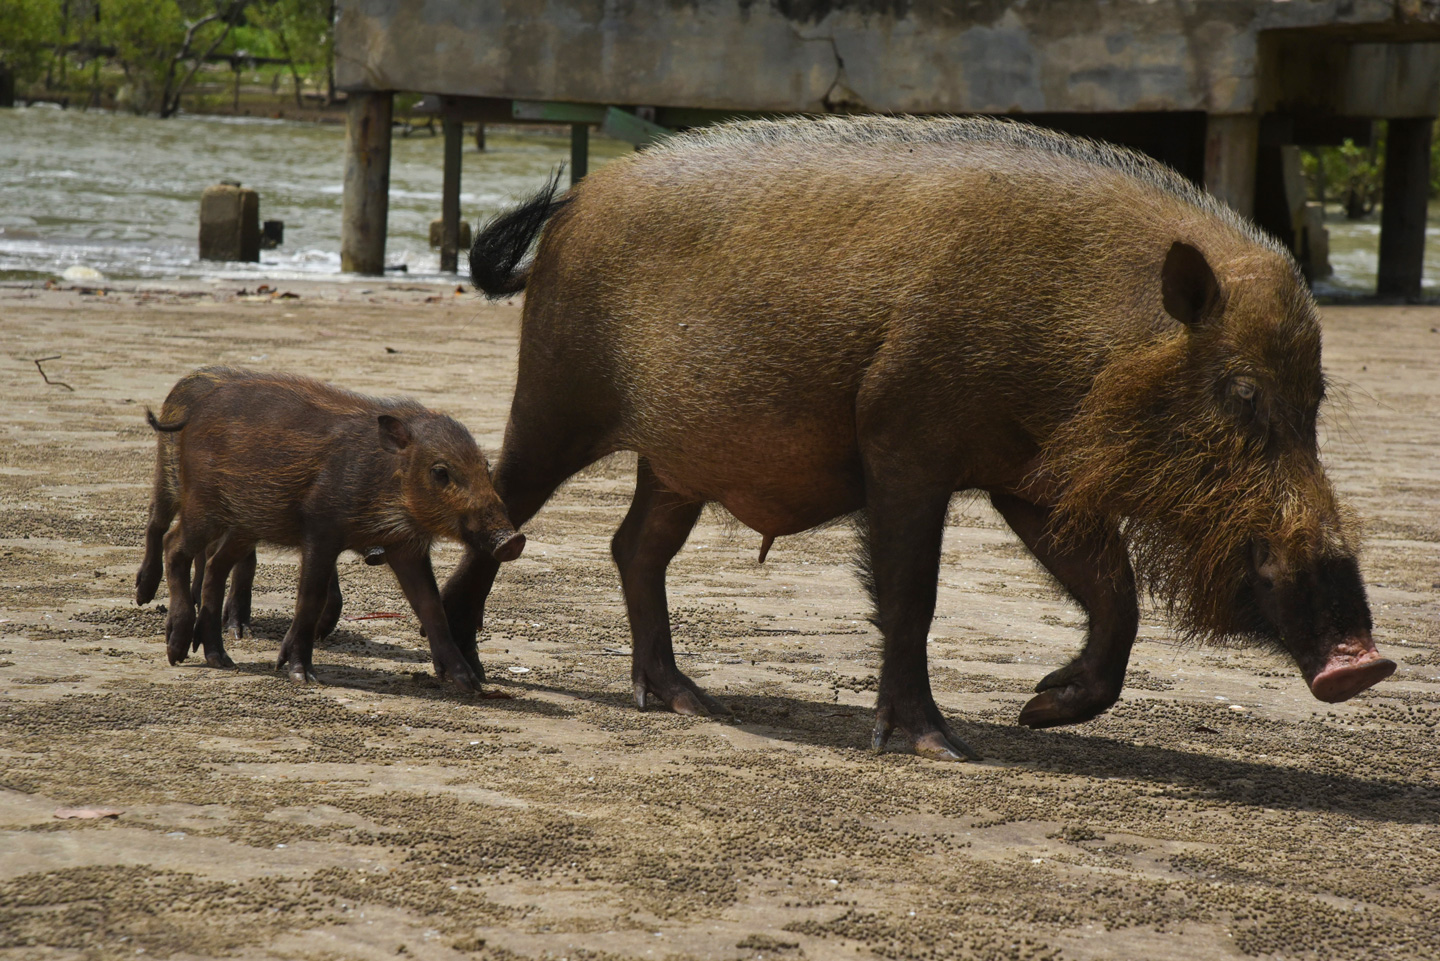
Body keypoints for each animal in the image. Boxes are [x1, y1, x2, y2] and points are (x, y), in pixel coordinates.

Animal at [440, 116, 1393, 760]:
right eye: (1243, 394)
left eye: (1314, 400)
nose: (1366, 661)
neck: (1092, 335)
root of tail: (574, 207)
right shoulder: (901, 436)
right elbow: (911, 594)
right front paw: (940, 746)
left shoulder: (1028, 476)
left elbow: (1115, 592)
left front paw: (1037, 710)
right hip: (557, 395)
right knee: (507, 501)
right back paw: (466, 672)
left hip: (675, 462)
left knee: (633, 545)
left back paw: (688, 701)